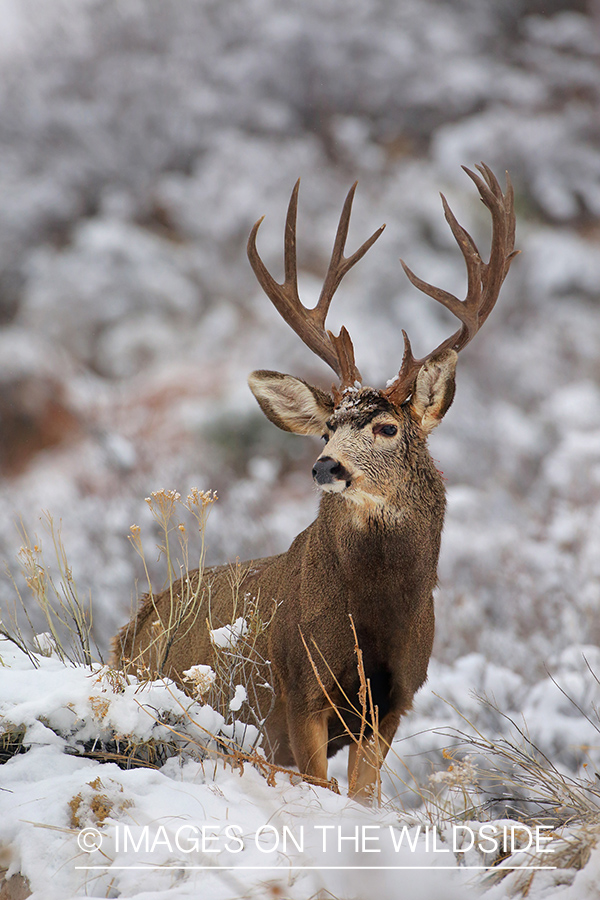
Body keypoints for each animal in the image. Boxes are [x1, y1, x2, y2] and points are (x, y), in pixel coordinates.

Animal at [115, 163, 516, 800]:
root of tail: (133, 628)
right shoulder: (298, 690)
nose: (326, 466)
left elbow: (364, 797)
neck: (374, 617)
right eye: (328, 427)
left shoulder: (392, 702)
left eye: (385, 426)